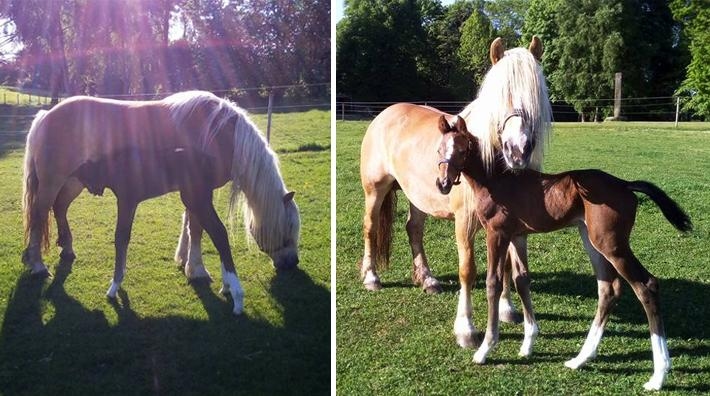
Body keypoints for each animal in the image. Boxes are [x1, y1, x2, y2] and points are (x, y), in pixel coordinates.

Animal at [21, 90, 300, 316]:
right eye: (288, 231)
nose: (293, 264)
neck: (219, 133)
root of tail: (45, 116)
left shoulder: (196, 192)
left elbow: (191, 224)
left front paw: (187, 262)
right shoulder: (197, 191)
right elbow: (198, 228)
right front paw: (196, 269)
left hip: (73, 182)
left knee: (59, 208)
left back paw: (67, 249)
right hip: (52, 182)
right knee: (39, 215)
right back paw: (37, 265)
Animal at [362, 35, 556, 346]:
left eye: (534, 97)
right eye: (499, 97)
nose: (517, 151)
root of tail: (384, 114)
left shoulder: (513, 225)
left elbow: (506, 268)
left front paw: (507, 310)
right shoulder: (464, 222)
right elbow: (468, 270)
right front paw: (465, 329)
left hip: (418, 197)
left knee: (413, 229)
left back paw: (427, 280)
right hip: (375, 190)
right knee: (370, 227)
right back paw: (371, 278)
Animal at [436, 116, 692, 392]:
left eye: (462, 151)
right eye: (439, 150)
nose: (442, 184)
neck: (497, 181)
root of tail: (625, 184)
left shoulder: (497, 234)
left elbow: (493, 283)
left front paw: (485, 349)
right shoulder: (517, 236)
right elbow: (521, 279)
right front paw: (527, 344)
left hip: (612, 244)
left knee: (646, 286)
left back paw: (658, 375)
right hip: (591, 240)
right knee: (608, 288)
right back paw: (581, 359)